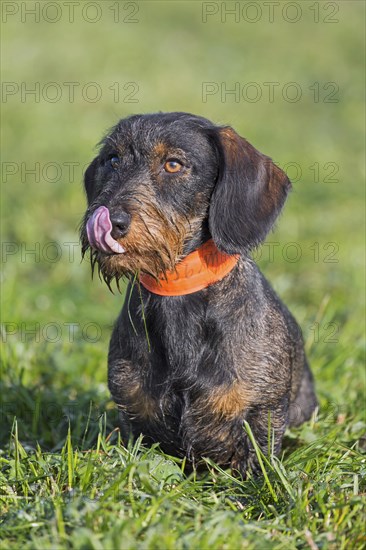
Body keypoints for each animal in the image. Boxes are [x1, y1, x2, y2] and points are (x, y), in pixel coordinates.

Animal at [81, 113, 318, 478]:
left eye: (173, 164)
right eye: (113, 159)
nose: (111, 221)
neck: (178, 288)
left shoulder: (262, 412)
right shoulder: (133, 417)